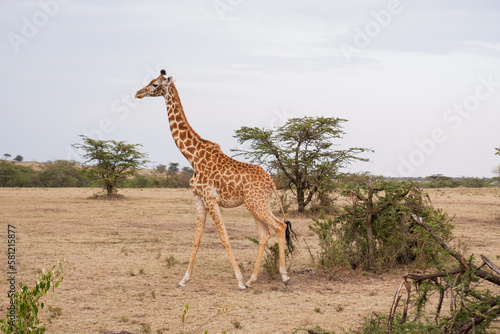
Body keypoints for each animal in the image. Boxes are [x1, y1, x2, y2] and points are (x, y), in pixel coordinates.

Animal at [135, 70, 294, 290]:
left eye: (155, 84)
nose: (138, 93)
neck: (192, 156)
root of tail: (270, 179)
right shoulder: (199, 199)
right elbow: (196, 239)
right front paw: (183, 279)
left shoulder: (211, 199)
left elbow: (224, 237)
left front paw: (239, 281)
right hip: (256, 204)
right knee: (265, 234)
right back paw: (253, 279)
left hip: (257, 204)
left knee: (279, 226)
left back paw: (283, 276)